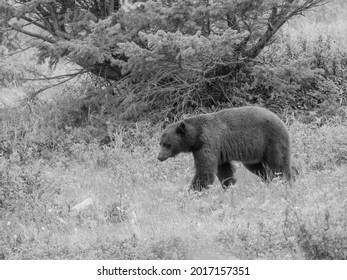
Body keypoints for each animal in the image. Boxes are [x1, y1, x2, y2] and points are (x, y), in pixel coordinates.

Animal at [159, 106, 292, 191]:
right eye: (160, 143)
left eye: (167, 144)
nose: (159, 157)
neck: (196, 138)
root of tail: (280, 119)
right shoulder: (216, 152)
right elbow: (224, 170)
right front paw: (230, 187)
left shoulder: (208, 143)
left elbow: (205, 171)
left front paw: (192, 193)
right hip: (254, 153)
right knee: (259, 168)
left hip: (271, 140)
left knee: (278, 164)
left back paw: (285, 181)